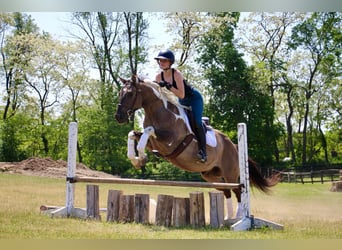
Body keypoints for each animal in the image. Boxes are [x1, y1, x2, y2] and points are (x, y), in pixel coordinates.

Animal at [113, 74, 280, 219]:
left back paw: (239, 217)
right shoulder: (155, 143)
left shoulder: (170, 140)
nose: (119, 117)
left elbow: (148, 130)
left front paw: (141, 157)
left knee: (237, 189)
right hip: (210, 175)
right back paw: (228, 218)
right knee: (226, 190)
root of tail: (234, 146)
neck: (158, 111)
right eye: (120, 93)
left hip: (230, 173)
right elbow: (132, 134)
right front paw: (136, 160)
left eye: (130, 94)